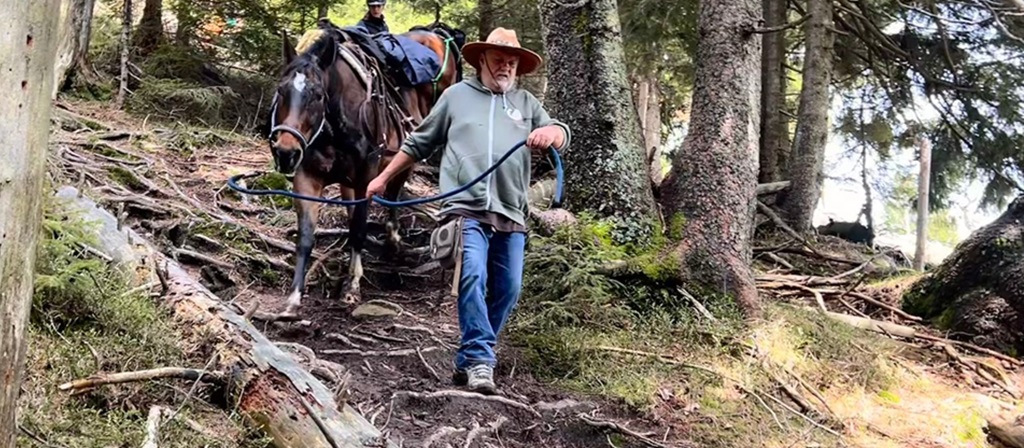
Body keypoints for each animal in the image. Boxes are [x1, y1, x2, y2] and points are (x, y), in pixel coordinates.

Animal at [270, 19, 466, 317]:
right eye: (281, 91)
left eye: (317, 95)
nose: (285, 152)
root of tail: (435, 33)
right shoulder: (307, 178)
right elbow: (305, 237)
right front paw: (293, 298)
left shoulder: (365, 179)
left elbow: (358, 230)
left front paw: (352, 286)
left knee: (395, 189)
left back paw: (394, 240)